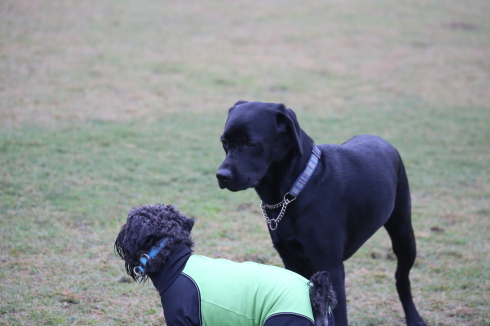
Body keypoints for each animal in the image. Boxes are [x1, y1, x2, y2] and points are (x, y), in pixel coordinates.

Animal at [216, 101, 426, 326]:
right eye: (224, 142)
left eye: (251, 144)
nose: (221, 176)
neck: (297, 188)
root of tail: (382, 140)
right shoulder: (290, 258)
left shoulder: (330, 266)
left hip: (404, 235)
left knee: (402, 279)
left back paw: (414, 318)